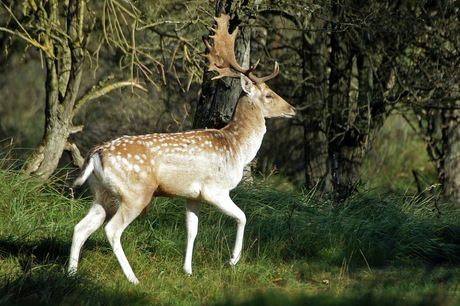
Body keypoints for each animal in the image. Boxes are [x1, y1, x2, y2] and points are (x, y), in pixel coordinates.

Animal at [69, 13, 296, 282]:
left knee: (80, 227)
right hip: (135, 192)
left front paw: (188, 270)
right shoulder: (214, 189)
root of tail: (96, 153)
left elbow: (192, 230)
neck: (236, 147)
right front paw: (232, 260)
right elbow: (242, 217)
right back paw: (133, 278)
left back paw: (71, 273)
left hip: (102, 193)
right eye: (269, 95)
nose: (293, 109)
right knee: (112, 230)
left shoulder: (192, 195)